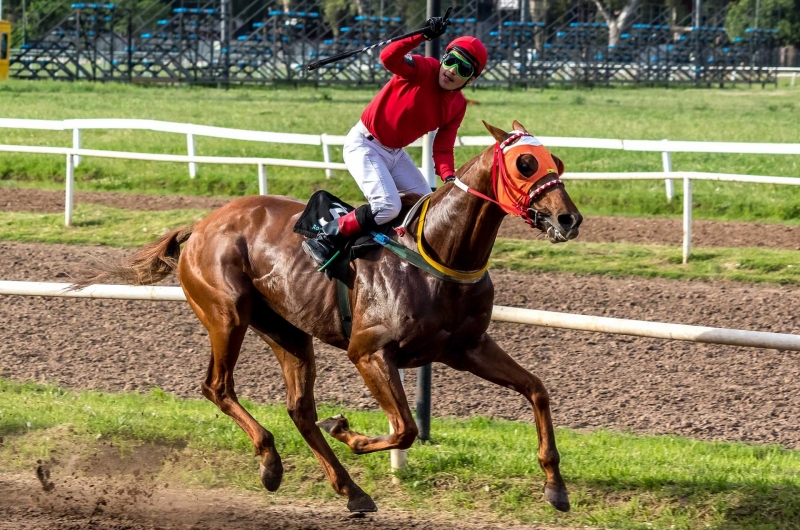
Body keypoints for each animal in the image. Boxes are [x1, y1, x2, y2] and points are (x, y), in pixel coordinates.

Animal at [76, 120, 580, 512]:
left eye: (556, 160)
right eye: (525, 164)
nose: (568, 219)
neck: (437, 252)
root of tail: (200, 225)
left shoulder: (468, 347)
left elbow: (537, 390)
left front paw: (556, 488)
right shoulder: (369, 352)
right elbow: (405, 429)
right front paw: (346, 431)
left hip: (287, 330)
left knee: (299, 408)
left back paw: (349, 490)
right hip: (227, 313)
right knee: (217, 387)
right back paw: (271, 461)